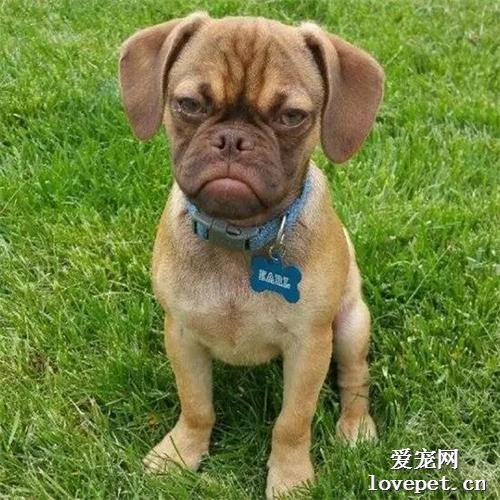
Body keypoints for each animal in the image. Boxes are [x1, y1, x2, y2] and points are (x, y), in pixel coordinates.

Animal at [119, 12, 384, 498]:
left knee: (355, 378)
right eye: (189, 104)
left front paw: (291, 477)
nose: (232, 140)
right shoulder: (182, 334)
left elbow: (292, 422)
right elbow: (196, 405)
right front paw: (181, 453)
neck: (238, 234)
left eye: (292, 116)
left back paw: (356, 428)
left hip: (352, 325)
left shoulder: (309, 347)